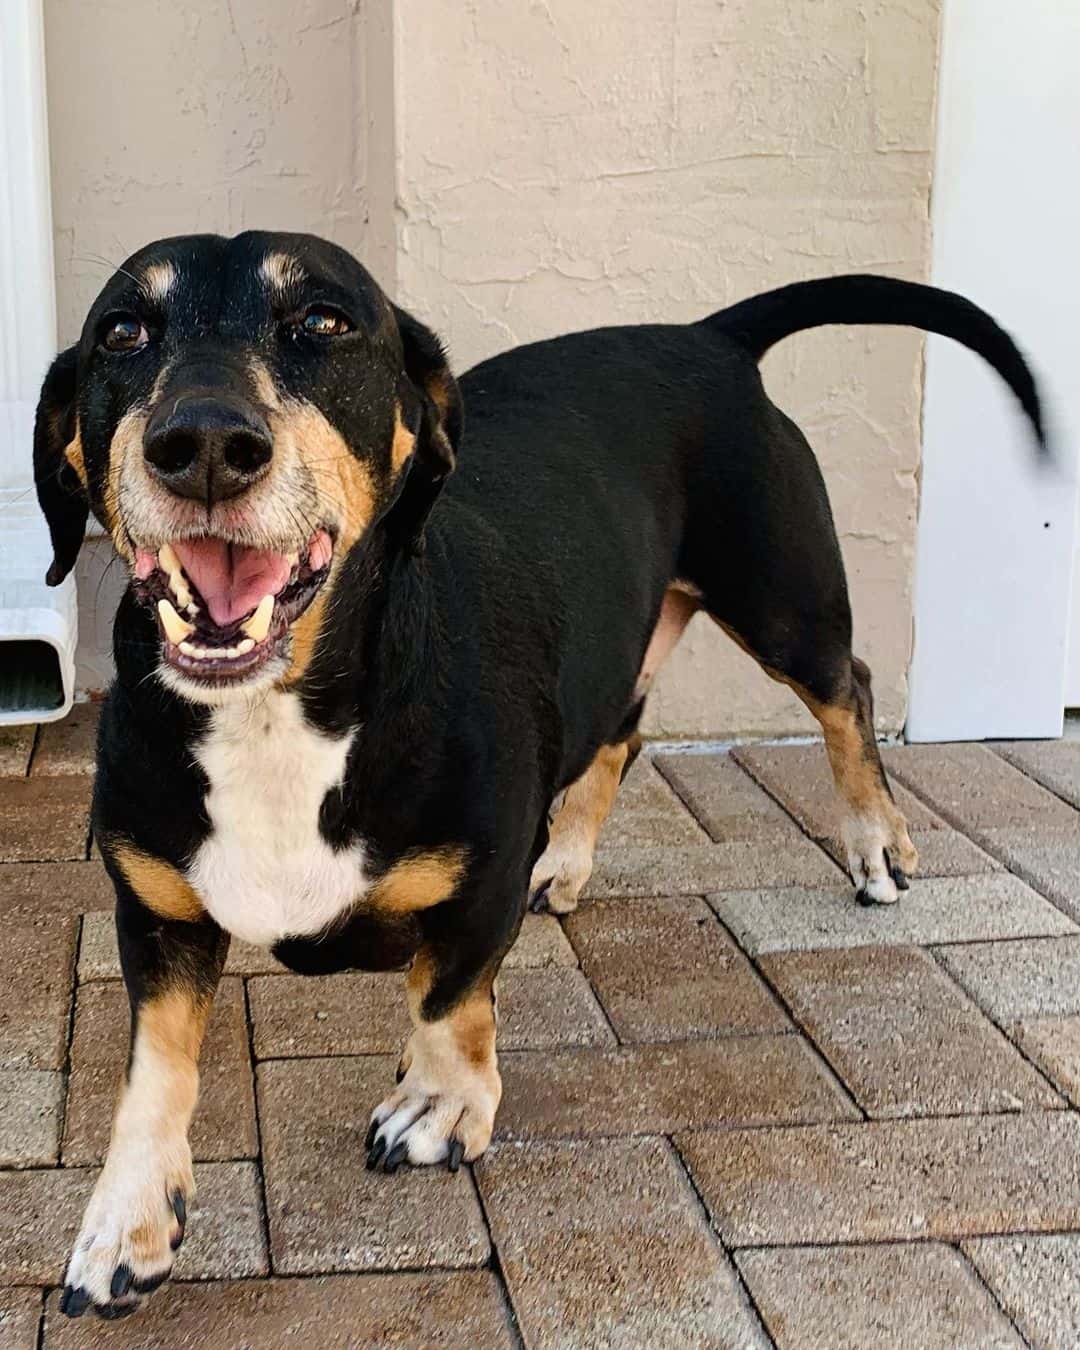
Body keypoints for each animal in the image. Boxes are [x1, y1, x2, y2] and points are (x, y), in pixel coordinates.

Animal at [33, 234, 1042, 1317]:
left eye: (324, 321)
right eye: (122, 332)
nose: (204, 444)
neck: (282, 709)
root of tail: (706, 337)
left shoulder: (479, 887)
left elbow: (449, 998)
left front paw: (438, 1104)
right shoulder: (158, 915)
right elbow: (154, 1075)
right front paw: (123, 1223)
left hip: (784, 602)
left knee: (846, 689)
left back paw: (875, 843)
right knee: (621, 735)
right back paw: (568, 862)